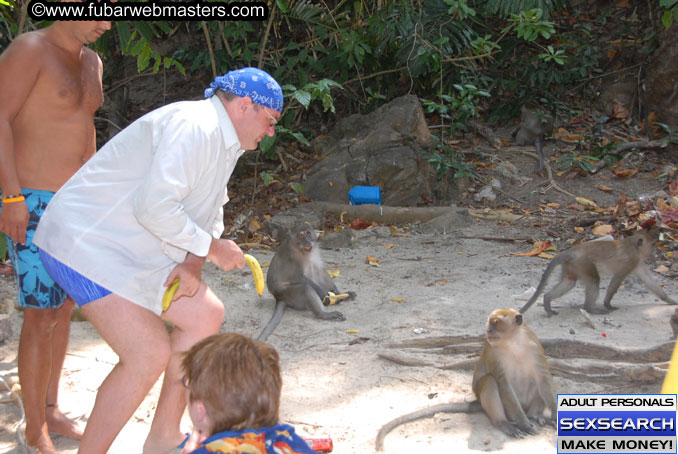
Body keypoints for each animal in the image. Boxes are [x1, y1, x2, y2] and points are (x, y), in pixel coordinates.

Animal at [378, 308, 556, 450]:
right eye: (490, 323)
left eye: (496, 323)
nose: (488, 331)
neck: (513, 343)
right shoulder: (493, 352)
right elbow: (503, 384)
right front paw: (524, 424)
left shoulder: (534, 346)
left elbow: (544, 378)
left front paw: (554, 416)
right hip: (507, 409)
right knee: (490, 381)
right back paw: (502, 423)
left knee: (538, 382)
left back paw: (534, 415)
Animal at [524, 231, 676, 316]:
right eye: (652, 244)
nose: (655, 252)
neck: (634, 246)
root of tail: (571, 251)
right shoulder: (631, 260)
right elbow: (617, 278)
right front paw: (607, 304)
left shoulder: (638, 261)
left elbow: (648, 280)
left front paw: (670, 301)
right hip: (583, 263)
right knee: (593, 280)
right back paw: (590, 309)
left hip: (572, 266)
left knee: (569, 282)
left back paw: (547, 300)